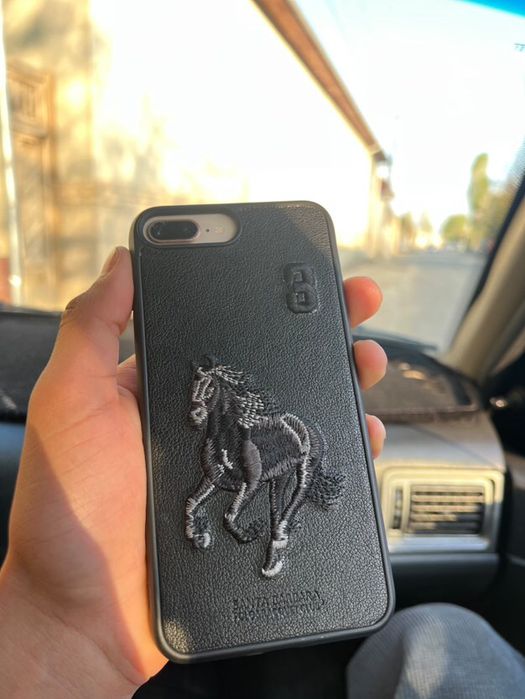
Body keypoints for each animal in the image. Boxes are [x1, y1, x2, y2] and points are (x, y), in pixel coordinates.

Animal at [185, 356, 345, 578]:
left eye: (210, 387)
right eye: (192, 385)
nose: (194, 417)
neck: (228, 440)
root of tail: (306, 424)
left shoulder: (252, 484)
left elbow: (229, 516)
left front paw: (250, 533)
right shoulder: (212, 479)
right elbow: (191, 504)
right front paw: (201, 538)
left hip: (306, 472)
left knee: (292, 505)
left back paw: (276, 552)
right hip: (280, 477)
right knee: (276, 513)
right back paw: (271, 564)